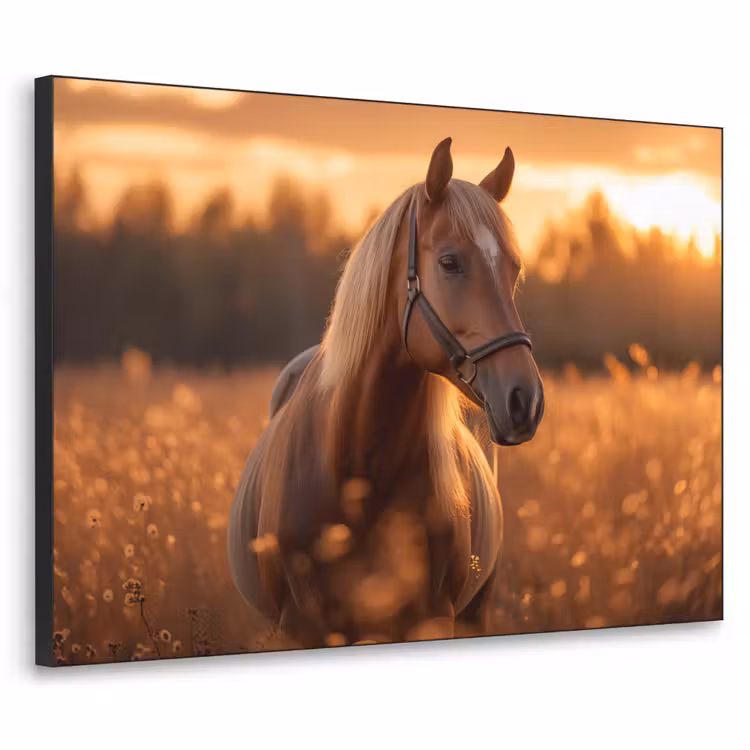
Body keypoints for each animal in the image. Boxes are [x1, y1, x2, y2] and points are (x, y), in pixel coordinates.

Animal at [228, 137, 545, 649]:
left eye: (513, 269)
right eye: (450, 263)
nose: (525, 401)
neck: (355, 464)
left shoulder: (431, 618)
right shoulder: (302, 627)